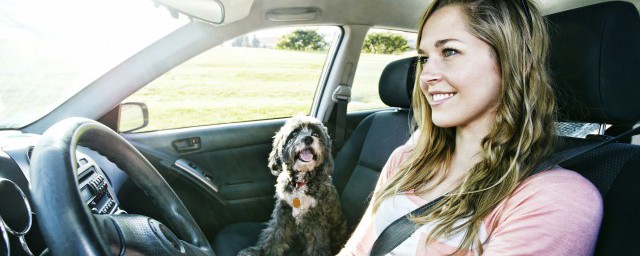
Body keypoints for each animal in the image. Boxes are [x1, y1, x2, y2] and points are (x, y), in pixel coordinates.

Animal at [240, 116, 348, 256]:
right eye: (295, 133)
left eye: (316, 134)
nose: (308, 139)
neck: (300, 184)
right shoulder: (283, 211)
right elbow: (275, 235)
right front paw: (260, 251)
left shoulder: (316, 218)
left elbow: (317, 243)